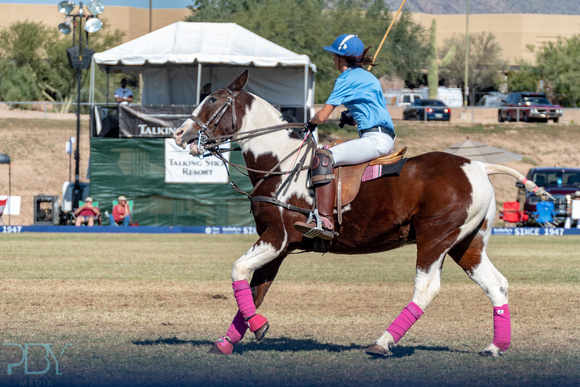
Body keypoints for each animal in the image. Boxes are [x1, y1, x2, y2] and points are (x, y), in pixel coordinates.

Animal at [174, 71, 548, 360]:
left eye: (212, 100)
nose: (180, 134)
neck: (279, 162)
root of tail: (478, 165)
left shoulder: (277, 237)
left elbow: (239, 271)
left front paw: (258, 327)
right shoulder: (277, 244)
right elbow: (255, 289)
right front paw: (227, 342)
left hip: (435, 237)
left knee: (426, 288)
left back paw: (382, 343)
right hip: (467, 242)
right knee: (496, 284)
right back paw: (495, 347)